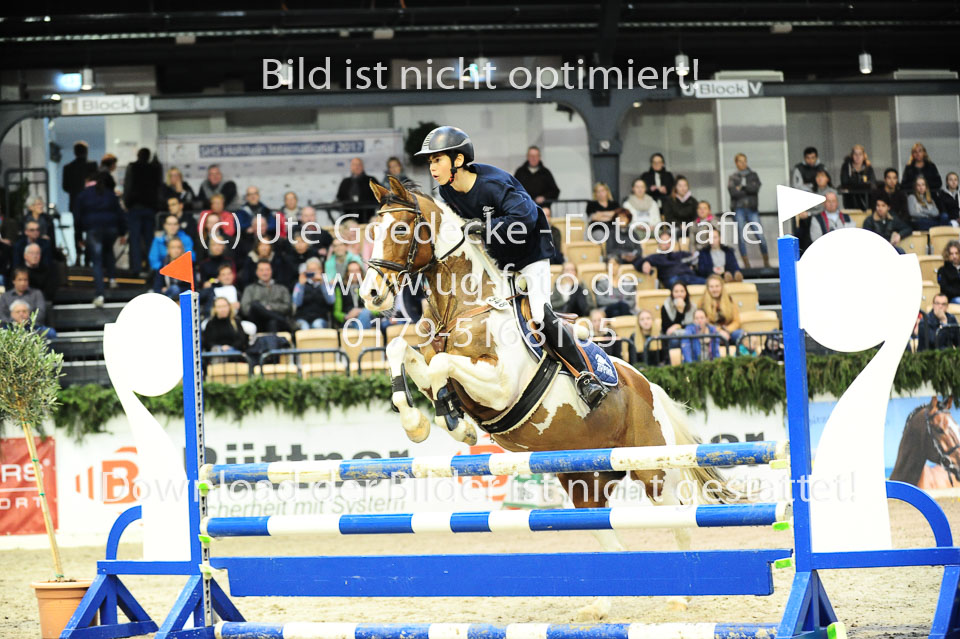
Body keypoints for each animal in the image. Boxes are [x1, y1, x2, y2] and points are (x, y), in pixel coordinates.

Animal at [358, 177, 733, 618]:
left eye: (401, 230)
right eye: (372, 230)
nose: (370, 294)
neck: (465, 306)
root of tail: (649, 387)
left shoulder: (501, 384)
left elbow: (441, 367)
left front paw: (451, 422)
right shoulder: (432, 353)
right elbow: (403, 352)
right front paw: (426, 422)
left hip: (653, 469)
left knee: (677, 519)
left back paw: (679, 597)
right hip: (584, 480)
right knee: (606, 534)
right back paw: (600, 606)